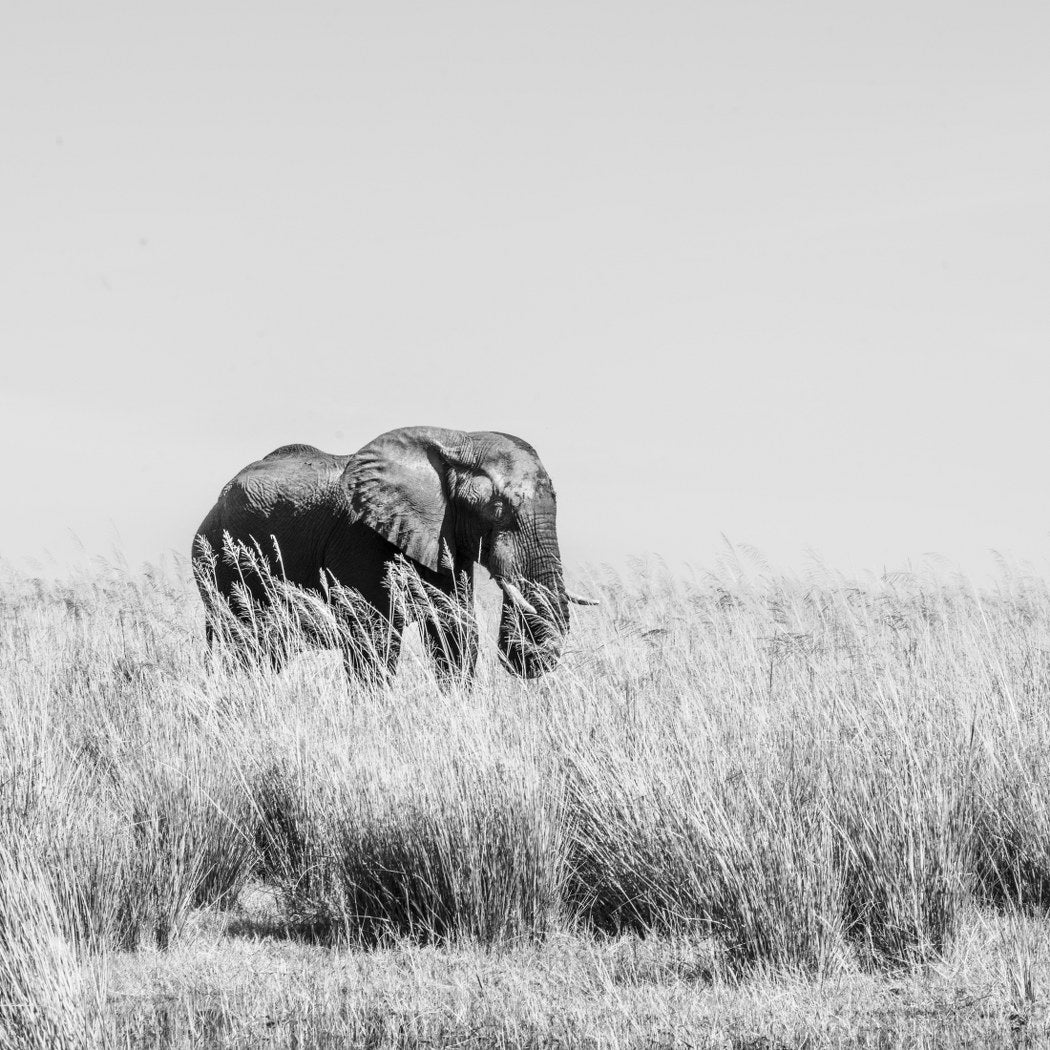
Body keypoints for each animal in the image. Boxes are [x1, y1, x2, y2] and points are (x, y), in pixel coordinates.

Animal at [191, 426, 596, 682]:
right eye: (499, 510)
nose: (524, 656)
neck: (455, 442)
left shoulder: (444, 539)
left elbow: (455, 635)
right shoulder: (359, 537)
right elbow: (374, 638)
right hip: (219, 562)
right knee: (243, 646)